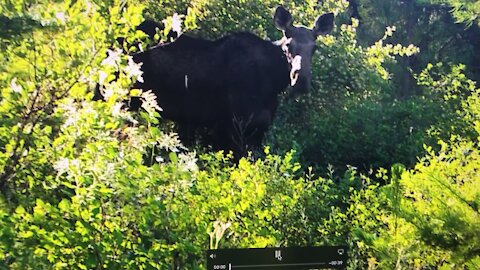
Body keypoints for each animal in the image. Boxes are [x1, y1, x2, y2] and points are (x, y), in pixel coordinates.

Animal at [127, 6, 336, 156]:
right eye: (288, 46)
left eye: (315, 48)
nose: (301, 80)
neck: (273, 83)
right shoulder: (233, 127)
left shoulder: (257, 130)